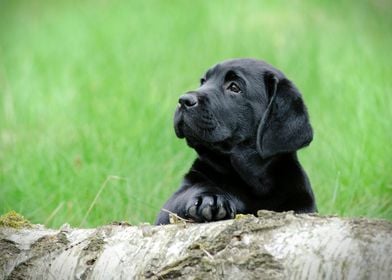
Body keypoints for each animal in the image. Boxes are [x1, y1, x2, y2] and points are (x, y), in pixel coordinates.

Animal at [155, 58, 316, 224]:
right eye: (203, 81)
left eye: (234, 87)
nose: (183, 100)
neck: (254, 181)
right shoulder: (169, 208)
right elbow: (192, 189)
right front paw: (210, 199)